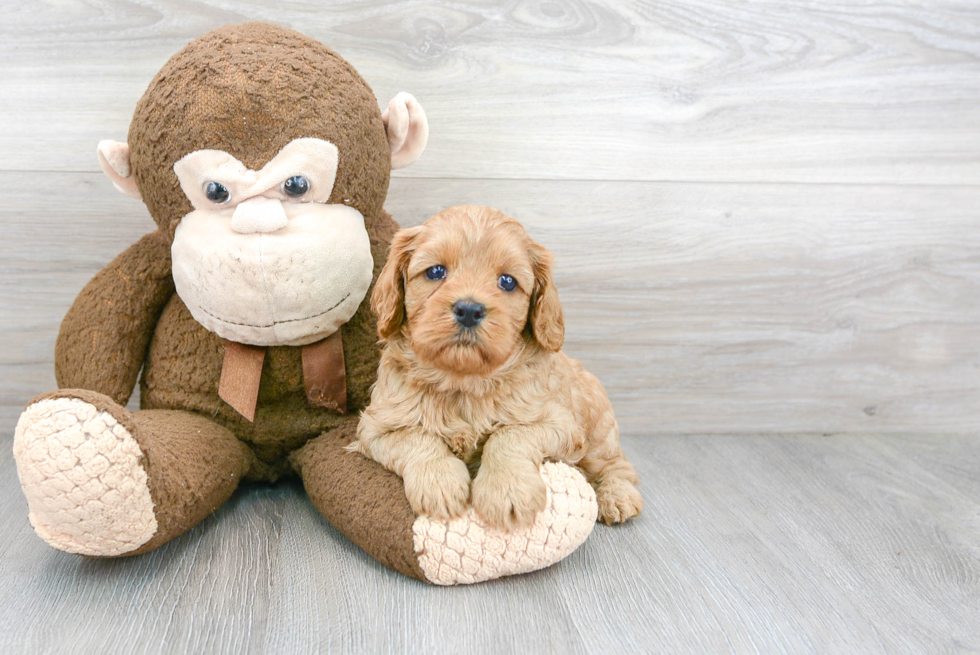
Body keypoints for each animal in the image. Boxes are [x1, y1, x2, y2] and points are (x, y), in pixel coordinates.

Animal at [352, 208, 644, 532]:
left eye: (507, 281)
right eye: (435, 272)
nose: (469, 310)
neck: (463, 382)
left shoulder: (558, 423)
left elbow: (509, 435)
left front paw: (507, 490)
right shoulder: (376, 427)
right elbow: (417, 439)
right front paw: (439, 483)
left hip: (597, 433)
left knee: (618, 465)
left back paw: (617, 496)